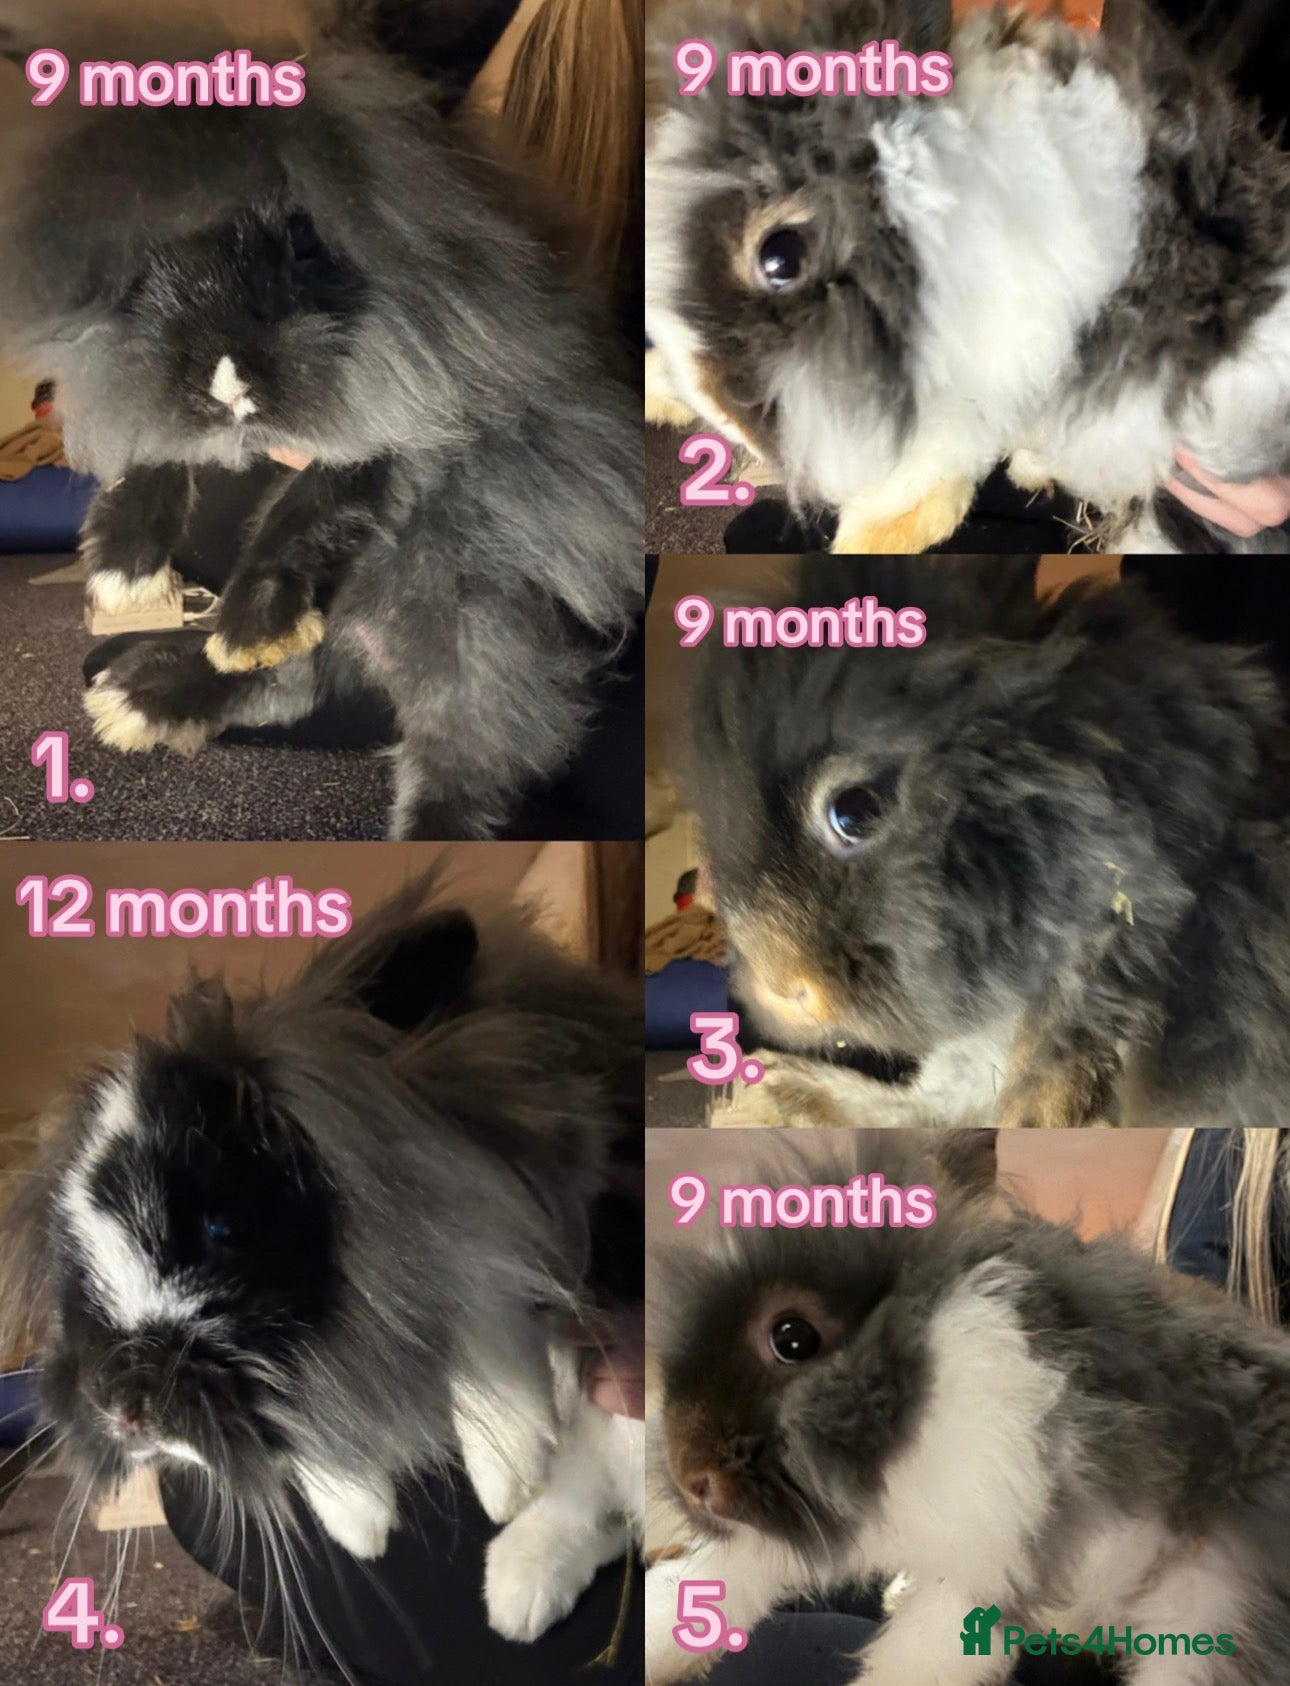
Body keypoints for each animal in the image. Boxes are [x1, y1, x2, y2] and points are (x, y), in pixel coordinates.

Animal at [0, 4, 642, 838]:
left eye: (303, 237)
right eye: (143, 263)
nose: (231, 386)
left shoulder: (432, 418)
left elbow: (324, 496)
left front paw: (251, 619)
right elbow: (155, 453)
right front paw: (121, 570)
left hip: (473, 624)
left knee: (467, 751)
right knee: (299, 679)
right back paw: (143, 697)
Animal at [0, 879, 644, 1660]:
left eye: (225, 1229)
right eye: (74, 1254)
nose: (127, 1410)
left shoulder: (525, 1185)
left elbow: (481, 1287)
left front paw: (509, 1471)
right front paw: (360, 1523)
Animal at [645, 1129, 1290, 1686]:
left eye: (793, 1338)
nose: (690, 1477)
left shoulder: (993, 1553)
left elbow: (921, 1658)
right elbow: (719, 1577)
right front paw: (656, 1649)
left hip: (1214, 1608)